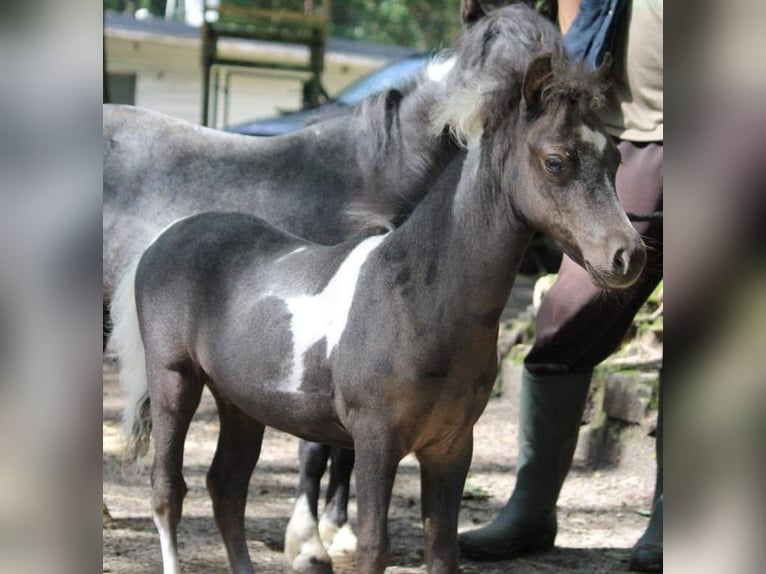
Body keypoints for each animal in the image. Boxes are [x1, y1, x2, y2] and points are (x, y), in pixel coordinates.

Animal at [111, 37, 644, 574]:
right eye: (556, 160)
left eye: (617, 161)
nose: (628, 256)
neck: (420, 301)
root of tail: (165, 237)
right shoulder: (375, 441)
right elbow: (373, 546)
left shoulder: (451, 446)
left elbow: (442, 548)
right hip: (174, 379)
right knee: (168, 491)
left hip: (239, 401)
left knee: (226, 487)